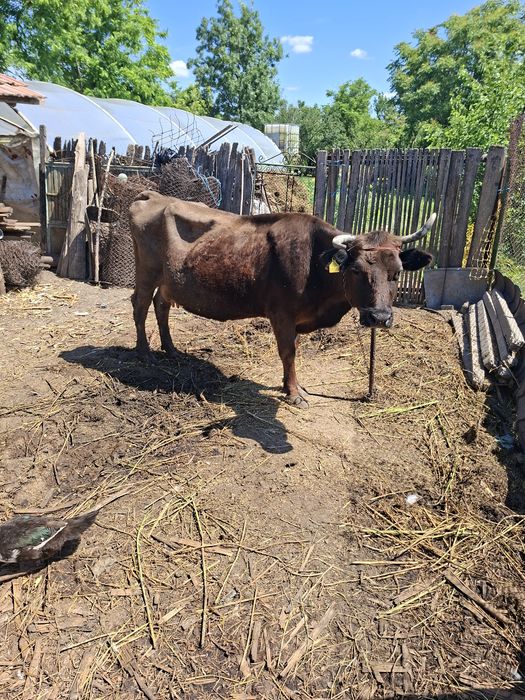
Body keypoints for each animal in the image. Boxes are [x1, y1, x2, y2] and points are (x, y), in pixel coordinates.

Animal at [129, 191, 435, 407]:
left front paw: (291, 385)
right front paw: (294, 393)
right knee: (140, 306)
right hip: (146, 272)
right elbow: (288, 352)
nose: (379, 317)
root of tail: (153, 196)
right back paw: (144, 353)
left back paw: (170, 349)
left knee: (161, 306)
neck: (314, 263)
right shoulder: (281, 314)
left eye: (397, 272)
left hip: (169, 281)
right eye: (356, 270)